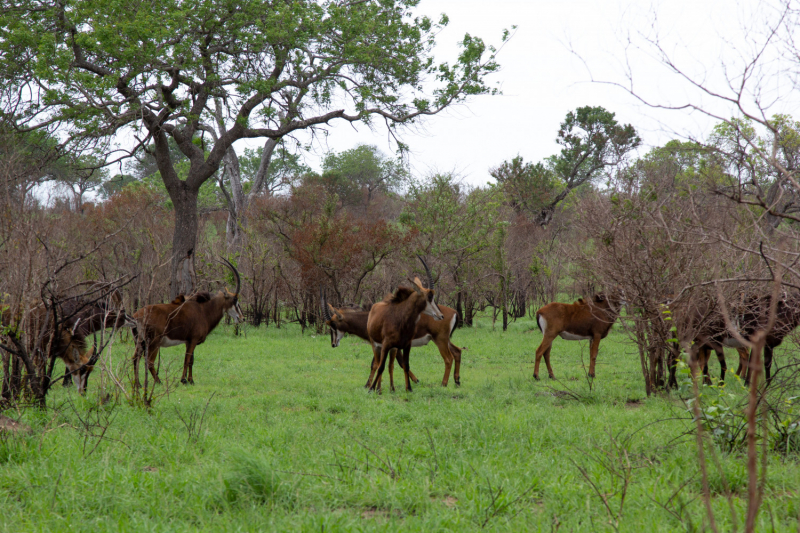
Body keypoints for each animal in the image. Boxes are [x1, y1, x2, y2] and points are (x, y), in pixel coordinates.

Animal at [131, 258, 242, 386]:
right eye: (235, 300)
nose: (242, 318)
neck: (203, 310)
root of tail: (136, 316)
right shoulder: (193, 340)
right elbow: (186, 359)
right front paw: (184, 380)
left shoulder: (189, 341)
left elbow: (191, 361)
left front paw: (191, 380)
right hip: (154, 342)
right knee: (149, 361)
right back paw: (159, 382)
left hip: (139, 342)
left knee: (135, 358)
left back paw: (138, 384)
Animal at [368, 256, 444, 392]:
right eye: (429, 297)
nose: (440, 316)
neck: (401, 319)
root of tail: (374, 306)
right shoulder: (386, 344)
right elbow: (380, 366)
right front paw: (371, 389)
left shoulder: (406, 345)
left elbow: (406, 365)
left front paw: (409, 388)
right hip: (376, 345)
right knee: (377, 364)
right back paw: (377, 389)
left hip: (393, 348)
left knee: (390, 365)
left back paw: (387, 389)